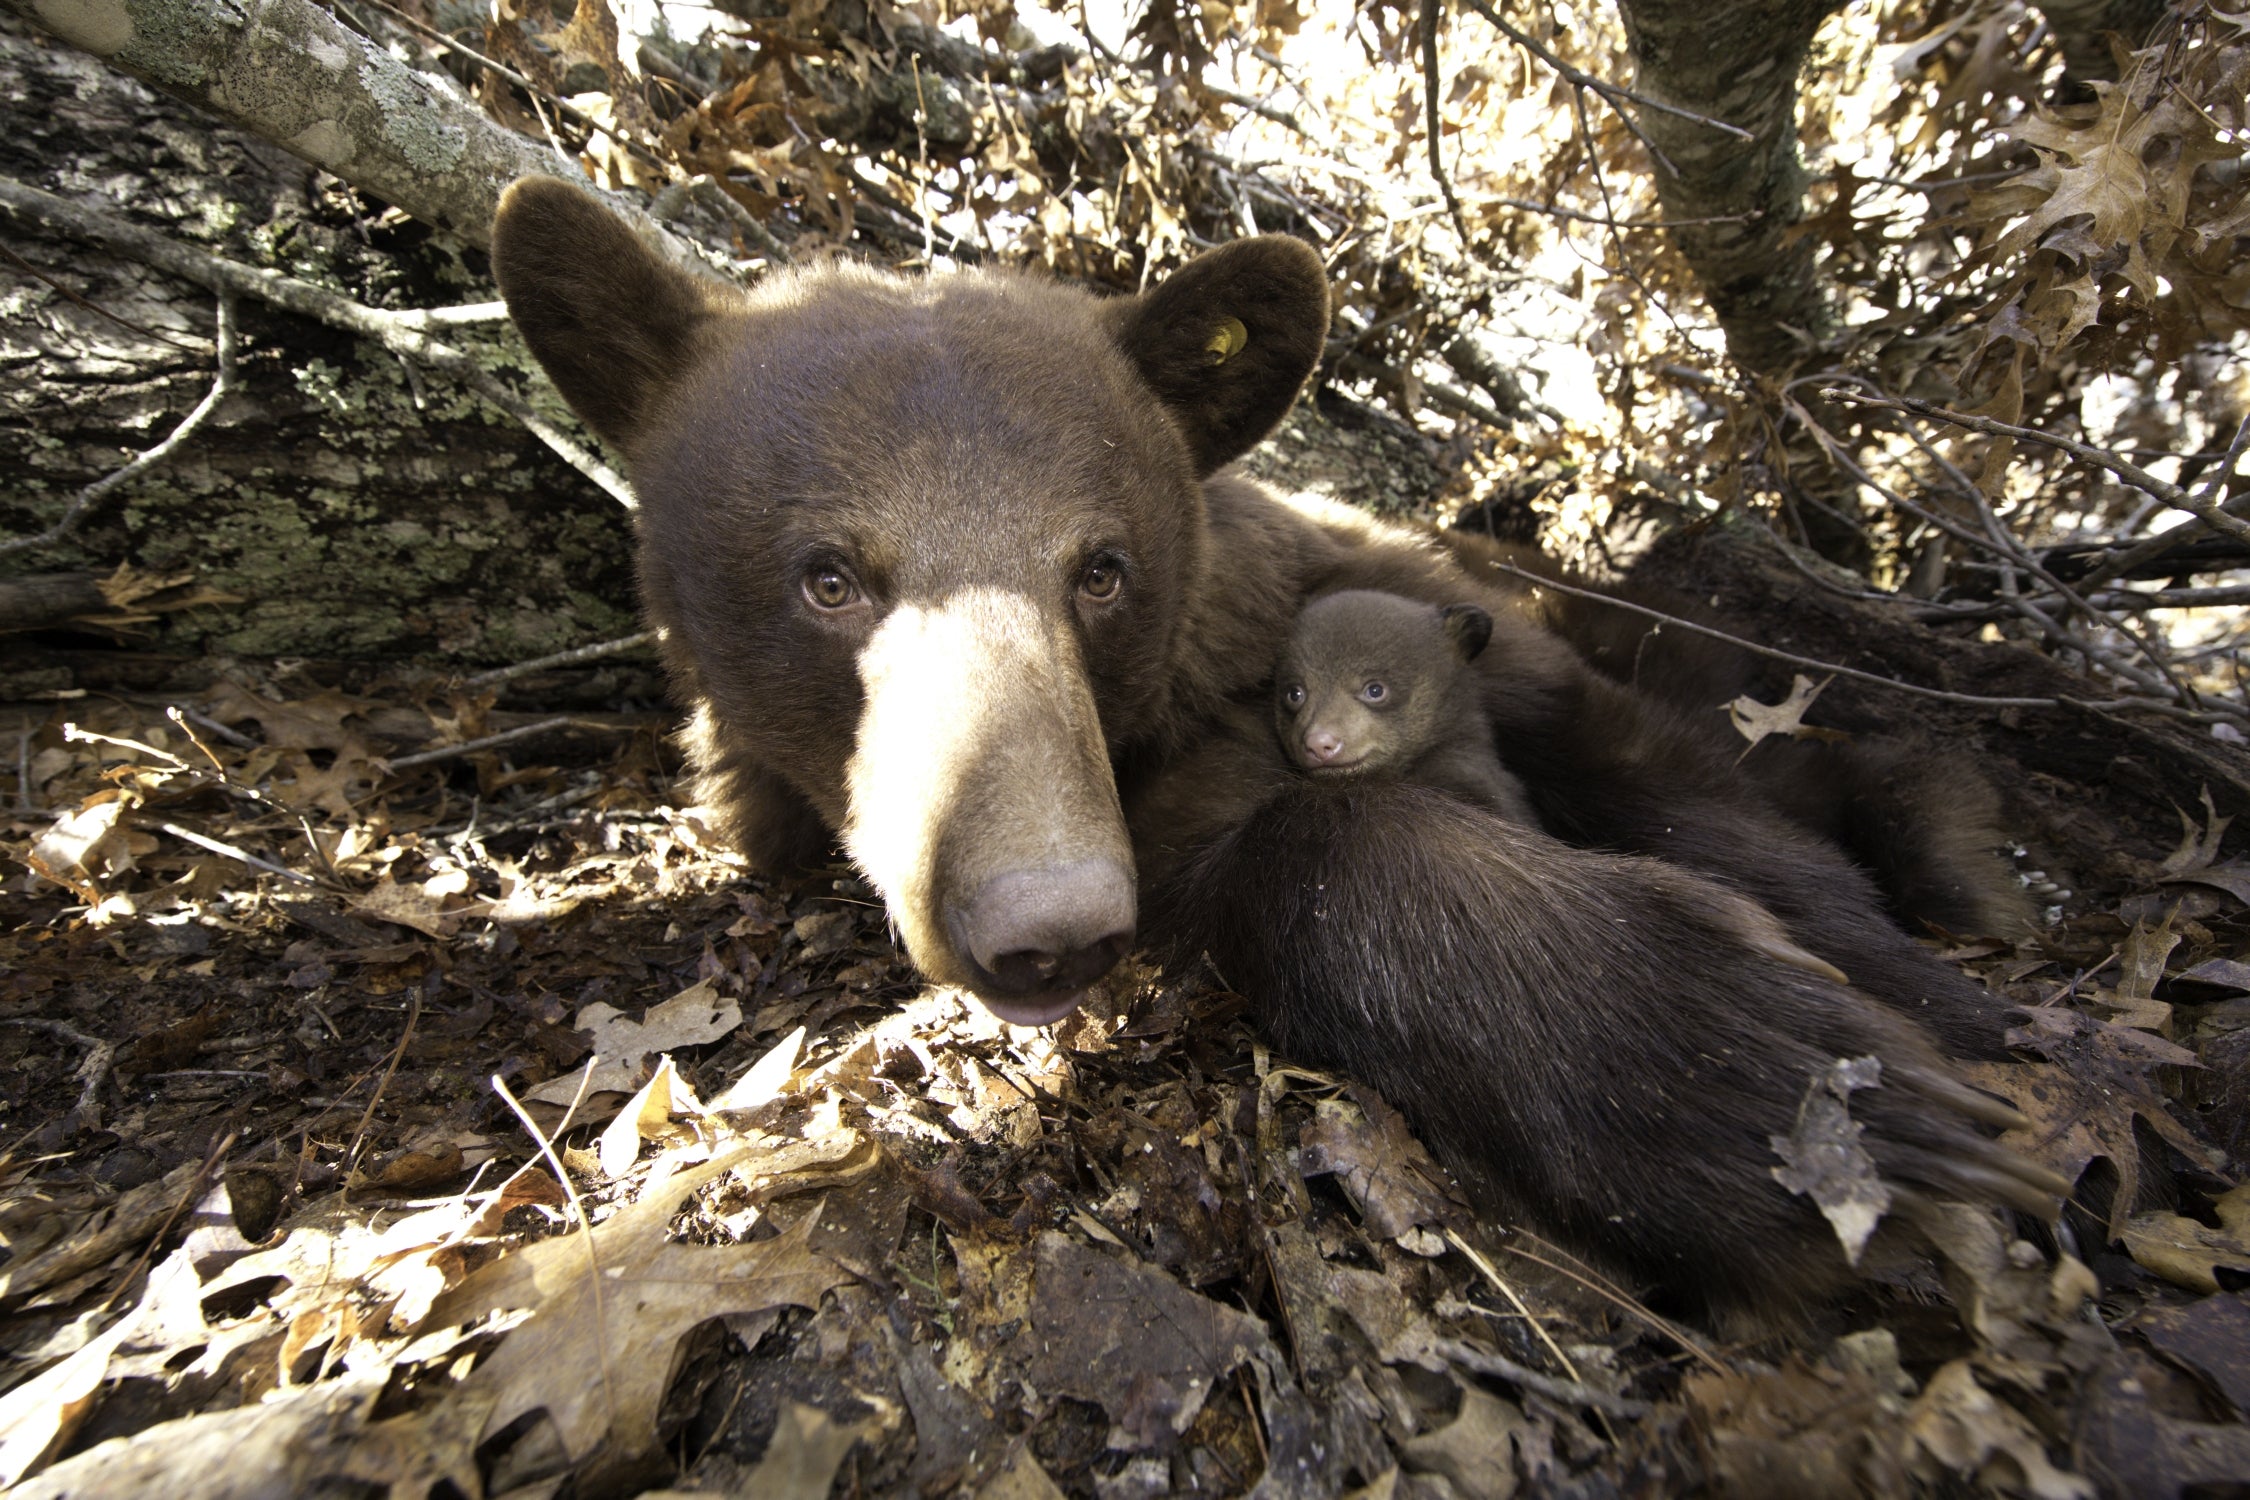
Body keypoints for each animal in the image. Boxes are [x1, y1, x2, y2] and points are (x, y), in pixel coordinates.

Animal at [488, 178, 2061, 1322]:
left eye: (1101, 569)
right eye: (829, 577)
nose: (1047, 920)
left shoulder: (1379, 597)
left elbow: (1655, 768)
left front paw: (1891, 1044)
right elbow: (1279, 849)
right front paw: (1755, 1079)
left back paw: (1950, 843)